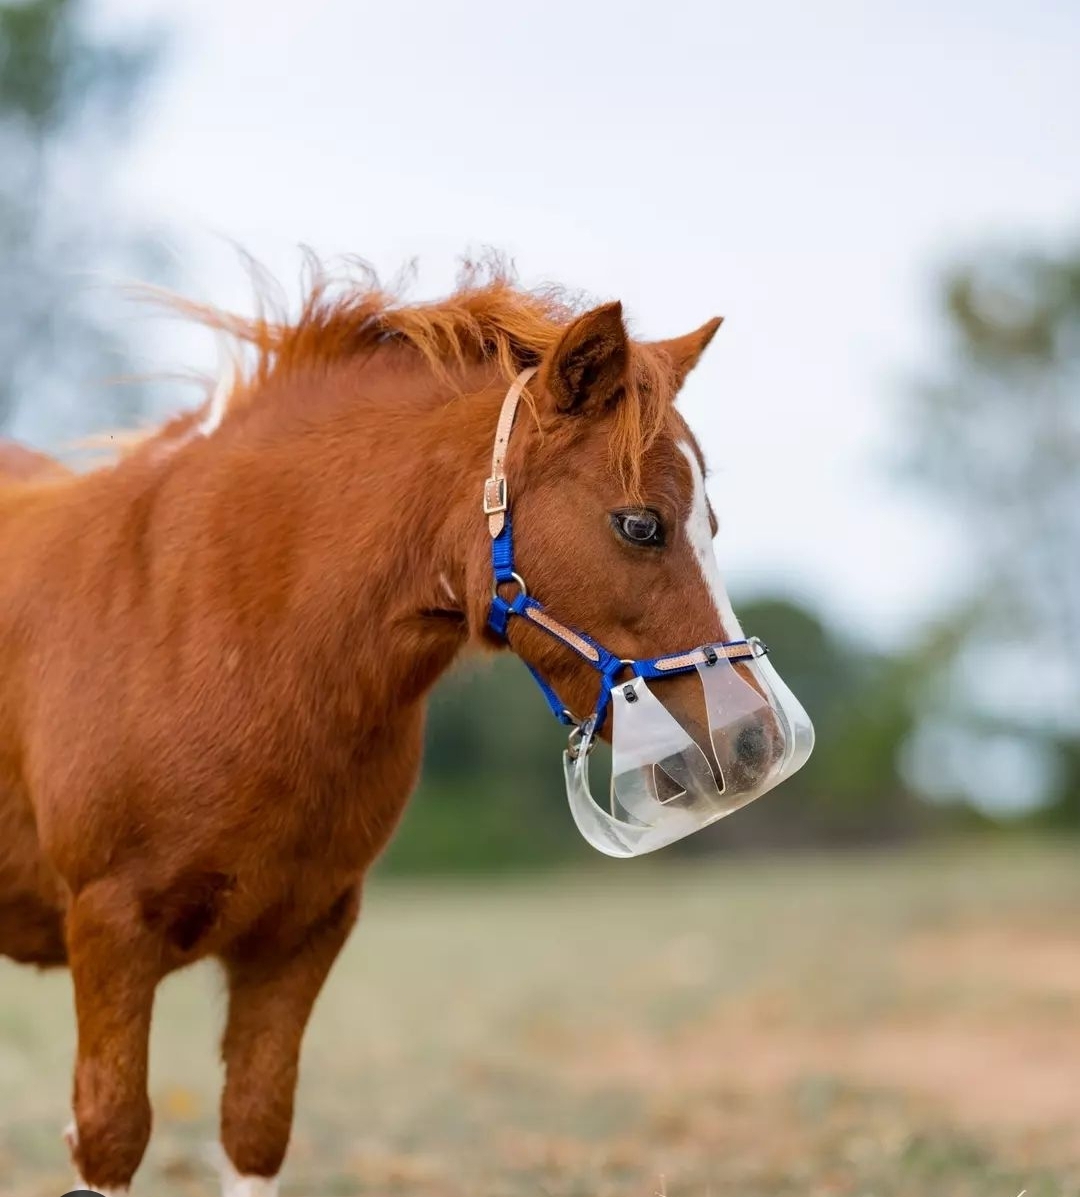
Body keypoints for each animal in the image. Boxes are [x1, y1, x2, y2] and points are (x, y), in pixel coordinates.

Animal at [0, 266, 742, 1192]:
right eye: (641, 523)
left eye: (711, 521)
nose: (754, 737)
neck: (212, 616)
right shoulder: (111, 932)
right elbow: (113, 1132)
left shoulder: (299, 935)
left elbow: (255, 1128)